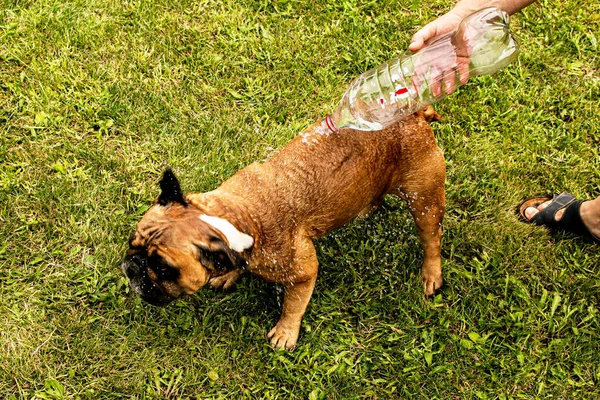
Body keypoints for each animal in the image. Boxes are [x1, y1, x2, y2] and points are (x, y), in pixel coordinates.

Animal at [122, 107, 446, 350]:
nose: (132, 266)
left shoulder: (303, 272)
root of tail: (414, 115)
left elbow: (293, 305)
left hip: (424, 200)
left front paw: (285, 332)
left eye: (163, 269)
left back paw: (431, 275)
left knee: (431, 240)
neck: (236, 215)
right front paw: (227, 275)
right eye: (131, 241)